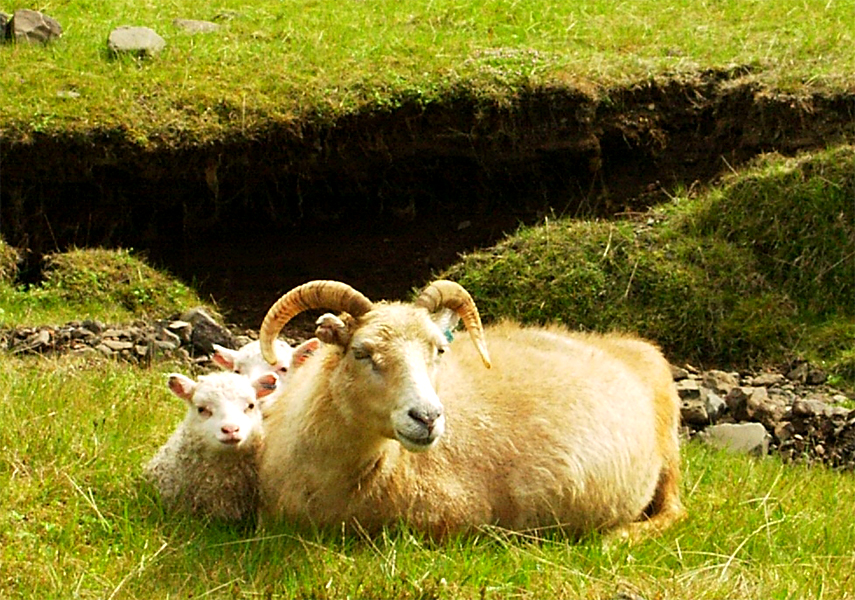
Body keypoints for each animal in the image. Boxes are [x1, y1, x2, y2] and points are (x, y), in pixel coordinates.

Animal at [256, 279, 685, 539]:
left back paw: (616, 537)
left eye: (439, 350)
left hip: (668, 455)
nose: (427, 417)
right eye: (361, 352)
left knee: (673, 512)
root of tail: (629, 343)